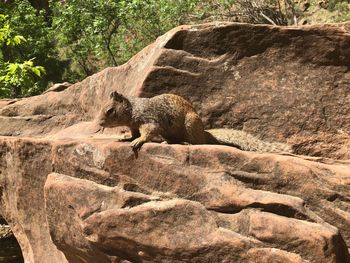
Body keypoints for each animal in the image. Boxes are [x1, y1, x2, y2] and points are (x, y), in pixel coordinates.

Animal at [96, 93, 292, 155]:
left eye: (110, 111)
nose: (99, 123)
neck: (134, 109)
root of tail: (205, 133)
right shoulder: (134, 125)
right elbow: (134, 133)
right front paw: (126, 138)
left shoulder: (149, 119)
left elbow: (148, 132)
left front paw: (138, 141)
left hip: (190, 124)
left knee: (198, 143)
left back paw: (184, 142)